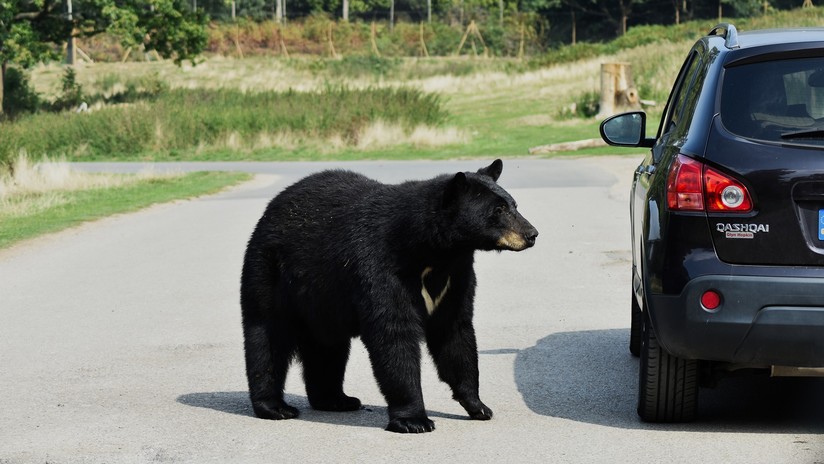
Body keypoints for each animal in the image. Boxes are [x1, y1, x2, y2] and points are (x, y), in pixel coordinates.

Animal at [240, 159, 536, 432]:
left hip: (323, 299)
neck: (433, 253)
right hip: (269, 272)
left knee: (328, 348)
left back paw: (336, 400)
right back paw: (275, 407)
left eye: (514, 205)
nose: (532, 234)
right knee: (267, 337)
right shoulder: (382, 266)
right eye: (498, 210)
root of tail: (272, 207)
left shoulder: (456, 277)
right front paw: (414, 419)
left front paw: (478, 406)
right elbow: (394, 334)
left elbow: (455, 332)